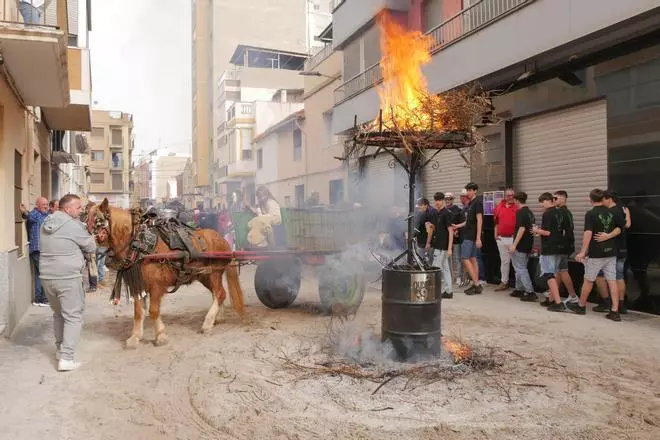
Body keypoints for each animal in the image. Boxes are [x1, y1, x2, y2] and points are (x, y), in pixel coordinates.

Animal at [87, 199, 242, 348]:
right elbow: (138, 312)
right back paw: (218, 317)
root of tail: (222, 239)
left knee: (220, 293)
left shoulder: (157, 286)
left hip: (214, 273)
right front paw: (135, 337)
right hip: (204, 275)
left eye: (98, 219)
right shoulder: (138, 285)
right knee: (217, 293)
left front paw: (160, 336)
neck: (140, 245)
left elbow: (154, 311)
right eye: (86, 217)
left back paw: (208, 323)